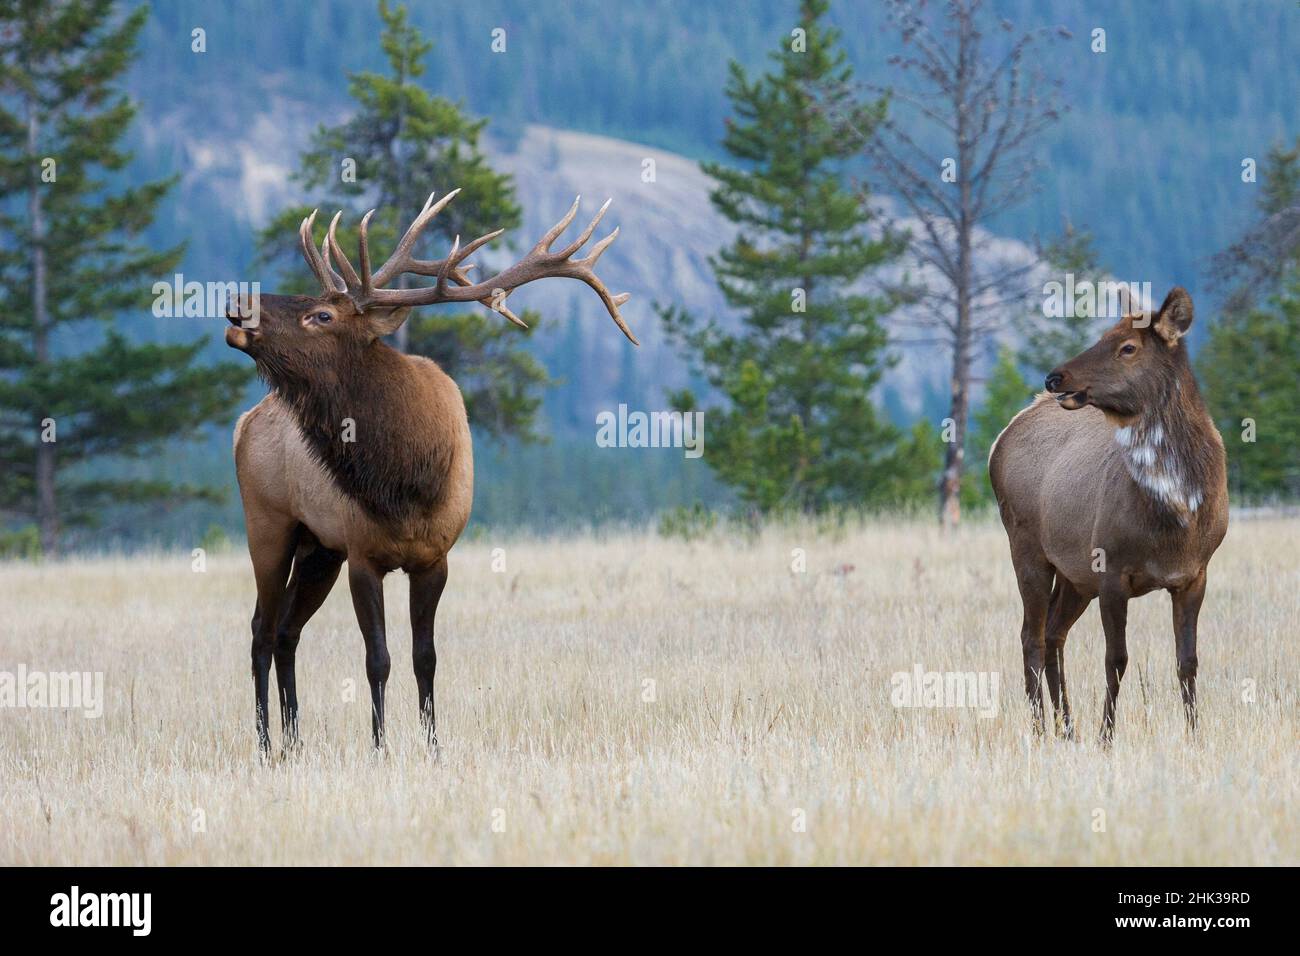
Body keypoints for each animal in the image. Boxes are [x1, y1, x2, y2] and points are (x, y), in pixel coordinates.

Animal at [223, 189, 637, 755]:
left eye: (321, 314)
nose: (235, 303)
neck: (407, 481)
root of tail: (244, 422)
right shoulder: (363, 555)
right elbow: (378, 660)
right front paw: (379, 747)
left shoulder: (434, 557)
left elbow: (426, 658)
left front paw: (432, 746)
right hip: (267, 523)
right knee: (260, 629)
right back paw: (267, 746)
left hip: (318, 547)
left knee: (285, 631)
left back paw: (293, 741)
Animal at [988, 287, 1228, 744]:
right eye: (1101, 335)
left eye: (1127, 347)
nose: (1055, 378)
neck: (1176, 519)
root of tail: (1002, 436)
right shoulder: (1112, 571)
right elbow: (1116, 659)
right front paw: (1106, 737)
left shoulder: (1195, 574)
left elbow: (1187, 660)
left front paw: (1195, 735)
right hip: (1024, 544)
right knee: (1031, 635)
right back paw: (1041, 729)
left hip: (1074, 574)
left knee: (1054, 632)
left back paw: (1067, 728)